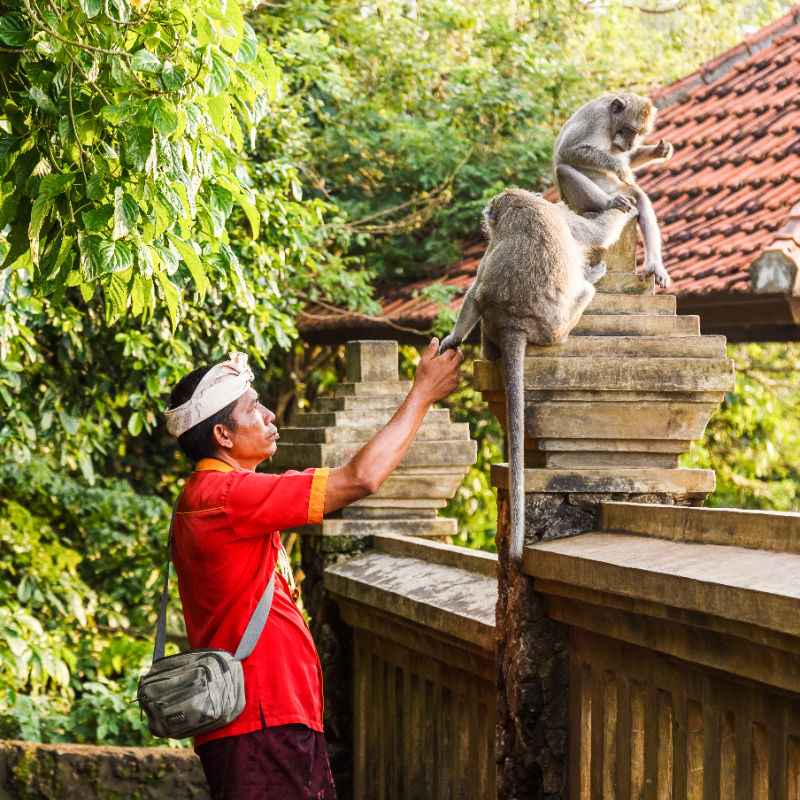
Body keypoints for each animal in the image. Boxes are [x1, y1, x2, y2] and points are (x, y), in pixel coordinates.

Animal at [439, 188, 638, 559]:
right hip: (558, 325)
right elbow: (598, 234)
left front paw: (453, 339)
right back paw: (591, 280)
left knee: (482, 300)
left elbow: (475, 293)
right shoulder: (558, 213)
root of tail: (516, 321)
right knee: (584, 293)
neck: (521, 202)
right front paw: (621, 206)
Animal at [553, 92, 673, 289]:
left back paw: (654, 266)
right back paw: (610, 203)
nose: (631, 143)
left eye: (639, 134)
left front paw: (659, 150)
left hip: (621, 190)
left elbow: (629, 157)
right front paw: (620, 168)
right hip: (579, 203)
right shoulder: (595, 120)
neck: (610, 123)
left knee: (639, 198)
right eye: (629, 129)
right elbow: (568, 150)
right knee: (563, 170)